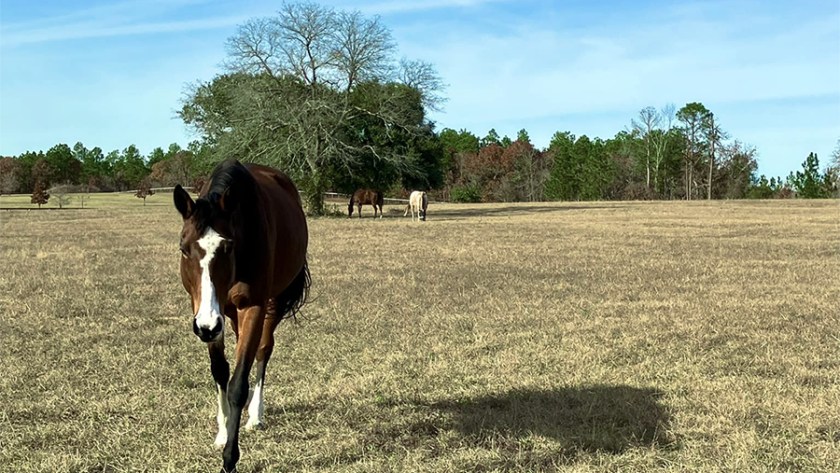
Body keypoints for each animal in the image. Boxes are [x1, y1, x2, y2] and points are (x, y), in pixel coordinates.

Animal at [174, 159, 312, 472]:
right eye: (183, 249)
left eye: (228, 247)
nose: (205, 326)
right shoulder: (208, 313)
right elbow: (220, 371)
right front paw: (223, 432)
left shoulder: (253, 308)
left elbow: (238, 383)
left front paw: (230, 459)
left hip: (272, 302)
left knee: (263, 349)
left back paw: (256, 415)